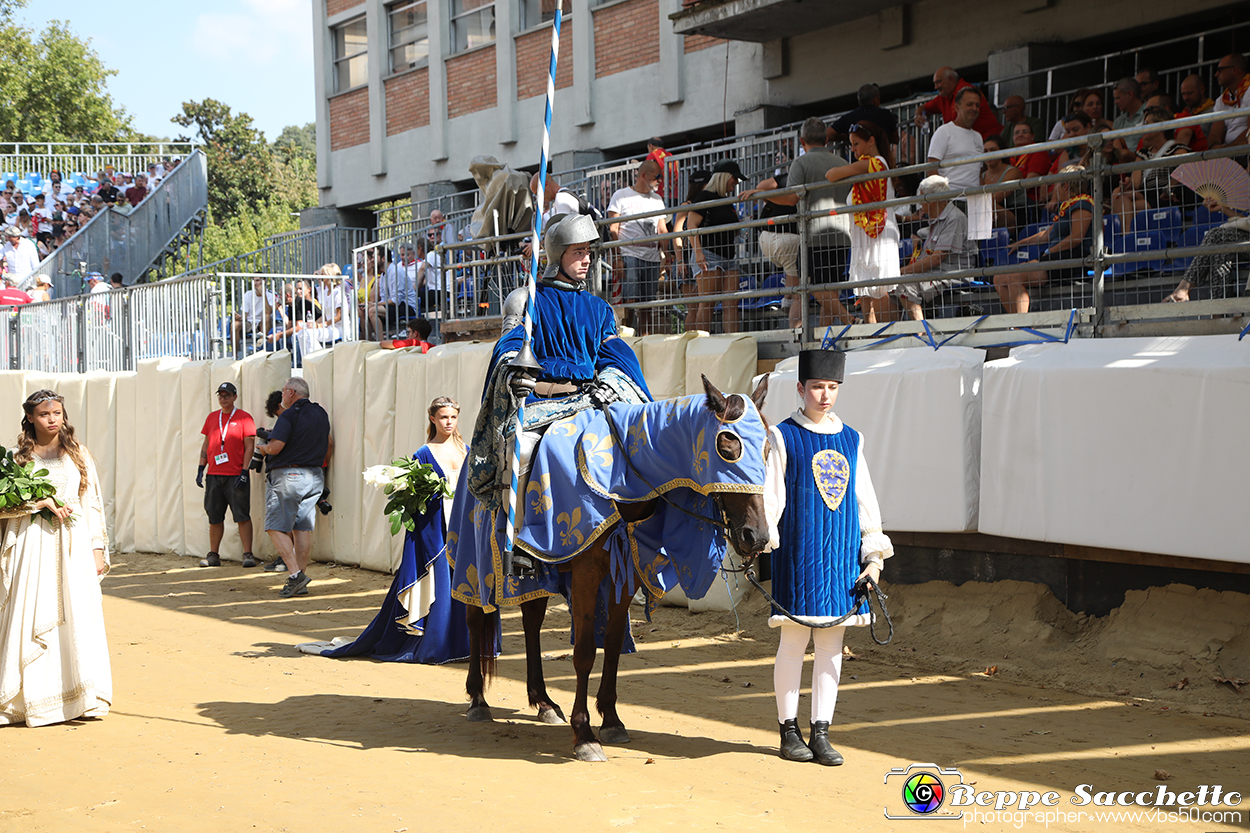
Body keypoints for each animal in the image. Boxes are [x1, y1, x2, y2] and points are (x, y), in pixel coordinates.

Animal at [450, 375, 770, 760]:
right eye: (727, 446)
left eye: (767, 448)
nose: (756, 536)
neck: (623, 476)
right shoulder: (587, 574)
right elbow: (585, 650)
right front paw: (585, 734)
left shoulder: (626, 573)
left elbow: (614, 644)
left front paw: (612, 719)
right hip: (474, 559)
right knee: (474, 618)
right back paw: (478, 699)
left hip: (534, 577)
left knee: (531, 622)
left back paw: (543, 702)